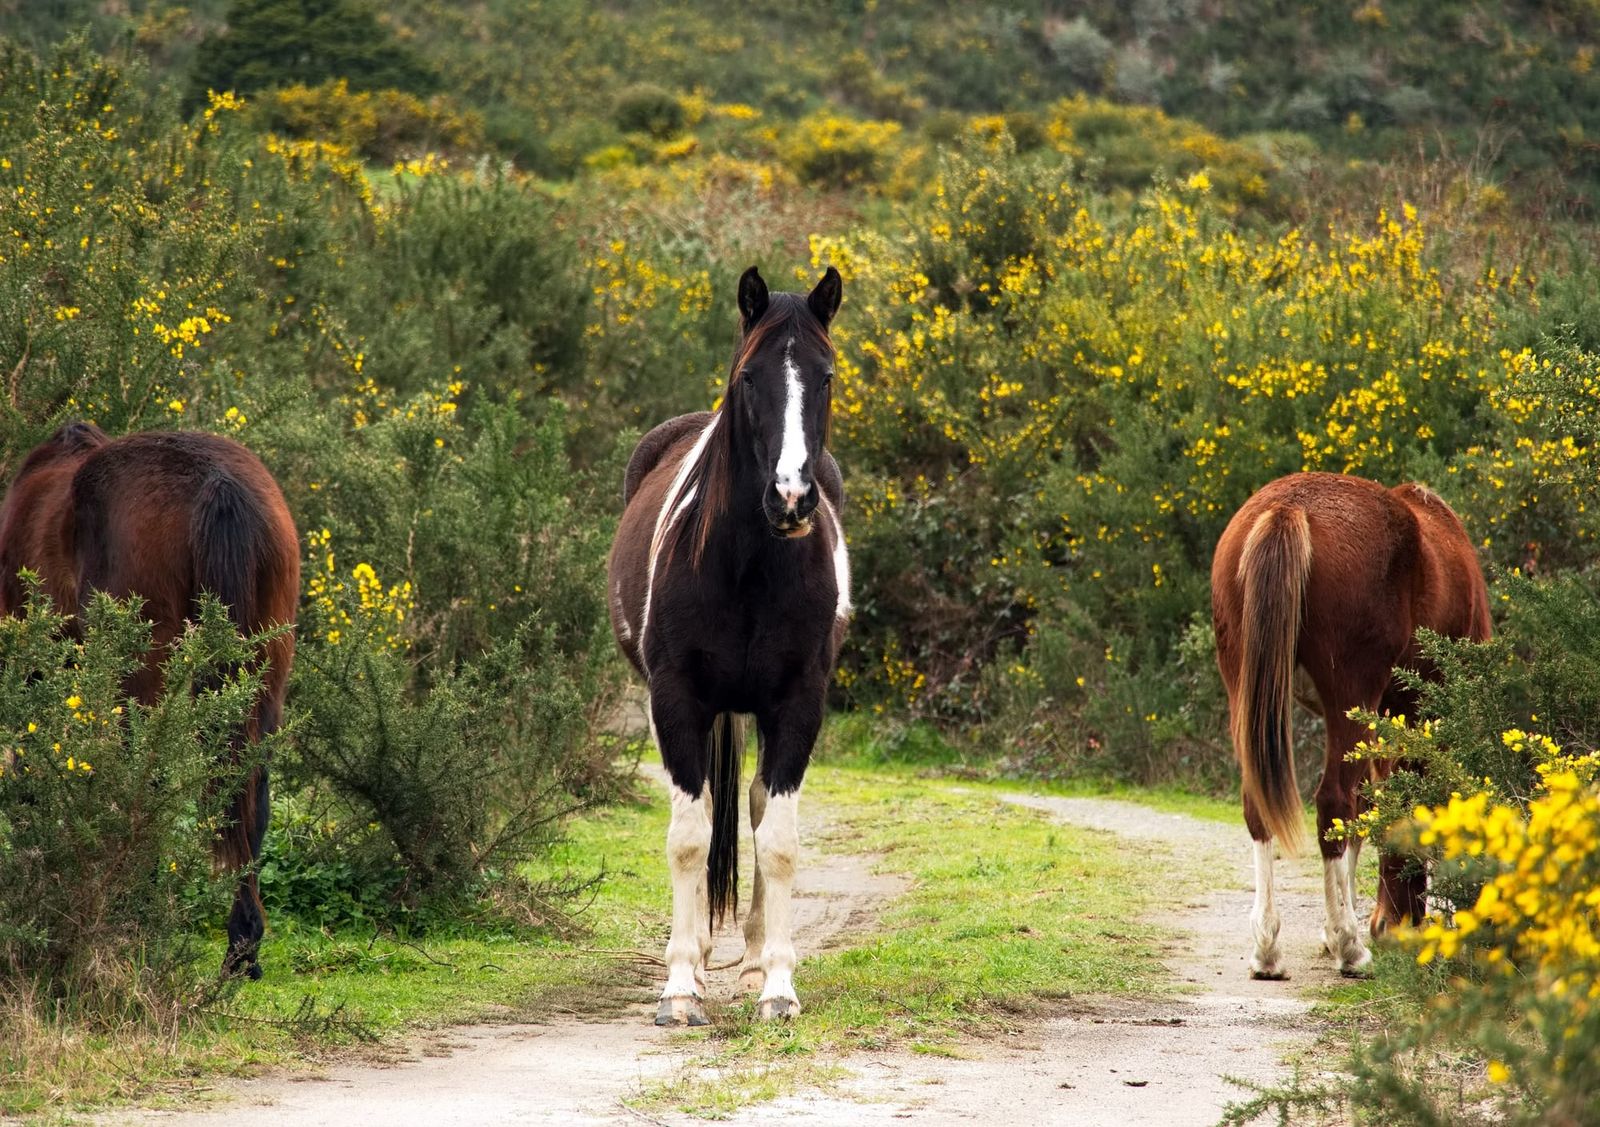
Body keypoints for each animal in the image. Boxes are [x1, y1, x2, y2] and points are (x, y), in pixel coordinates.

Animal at [0, 422, 300, 980]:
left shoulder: (32, 669)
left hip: (142, 677)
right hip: (264, 676)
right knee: (250, 793)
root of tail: (220, 483)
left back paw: (136, 911)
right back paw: (242, 948)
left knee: (146, 783)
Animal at [608, 265, 849, 1026]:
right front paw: (682, 987)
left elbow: (778, 841)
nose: (791, 498)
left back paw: (747, 962)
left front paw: (777, 986)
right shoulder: (677, 699)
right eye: (749, 377)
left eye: (826, 376)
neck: (749, 565)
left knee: (754, 805)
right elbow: (689, 838)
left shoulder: (798, 704)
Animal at [1211, 472, 1490, 978]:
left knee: (1261, 807)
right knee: (1333, 801)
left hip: (1246, 689)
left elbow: (1367, 810)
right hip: (1351, 696)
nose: (1391, 923)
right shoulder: (1414, 716)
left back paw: (1267, 948)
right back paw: (1349, 946)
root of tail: (1289, 508)